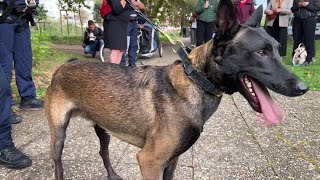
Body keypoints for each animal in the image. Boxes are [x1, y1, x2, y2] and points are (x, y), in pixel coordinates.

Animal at [45, 0, 308, 179]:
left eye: (277, 49)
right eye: (261, 52)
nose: (303, 87)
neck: (195, 80)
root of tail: (65, 65)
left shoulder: (172, 160)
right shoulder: (149, 161)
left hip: (103, 128)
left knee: (103, 153)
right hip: (59, 135)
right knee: (57, 163)